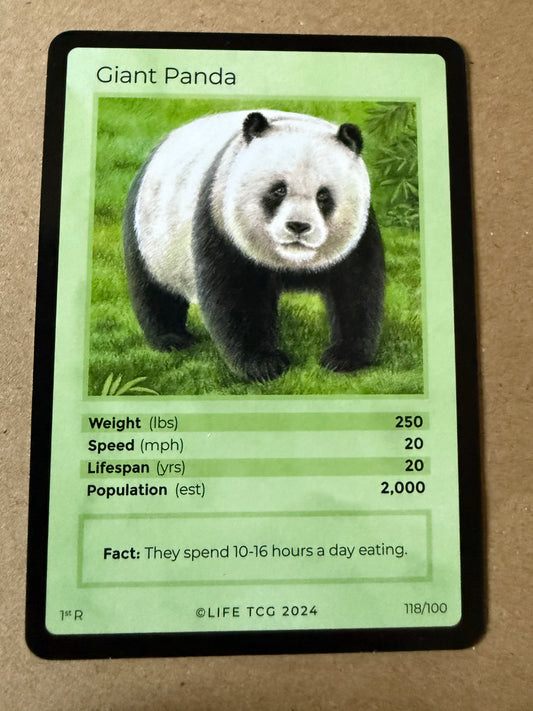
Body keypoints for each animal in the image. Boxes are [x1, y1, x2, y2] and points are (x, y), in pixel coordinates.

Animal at [123, 109, 385, 382]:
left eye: (323, 196)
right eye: (279, 190)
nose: (298, 226)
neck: (293, 262)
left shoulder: (360, 234)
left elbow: (356, 290)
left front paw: (344, 357)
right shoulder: (221, 221)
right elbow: (237, 296)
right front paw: (263, 364)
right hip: (149, 234)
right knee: (154, 290)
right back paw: (171, 339)